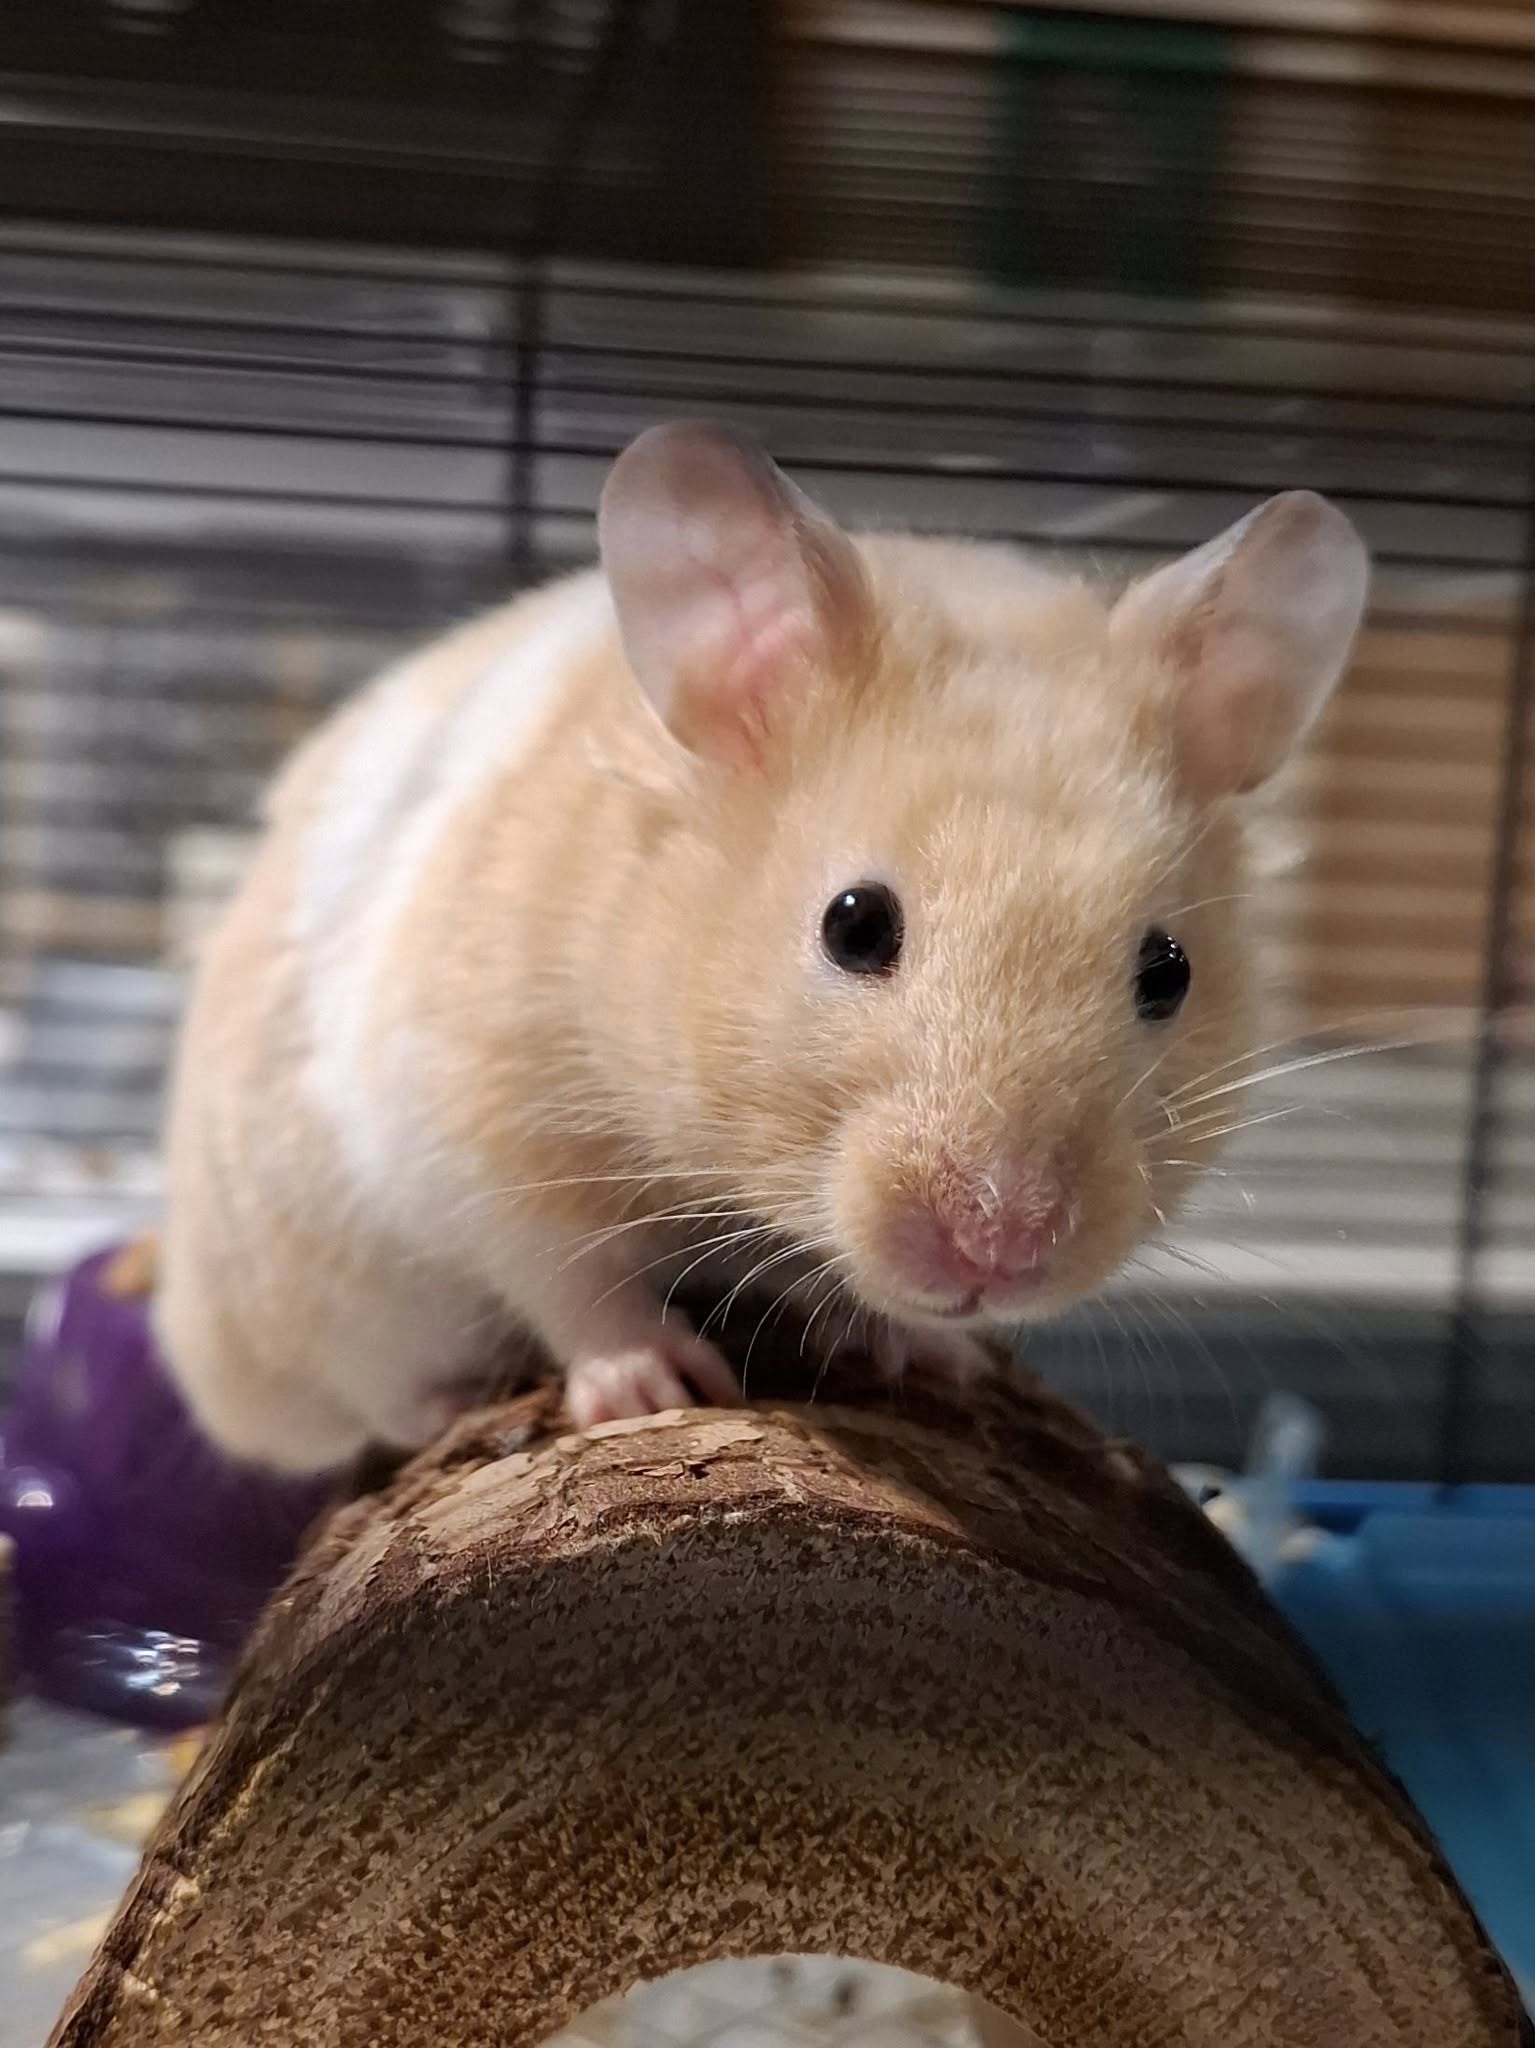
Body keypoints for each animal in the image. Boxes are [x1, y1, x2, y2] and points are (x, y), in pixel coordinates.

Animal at [155, 422, 1369, 1472]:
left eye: (1168, 970)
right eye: (854, 924)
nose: (998, 1251)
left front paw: (931, 1353)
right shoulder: (469, 1116)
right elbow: (566, 1273)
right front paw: (659, 1384)